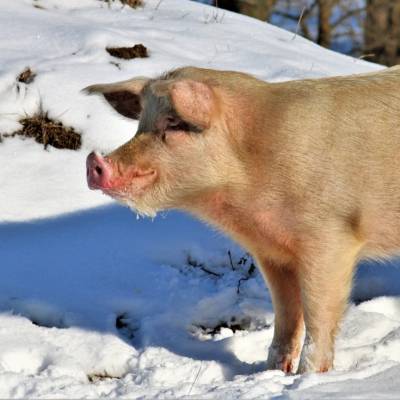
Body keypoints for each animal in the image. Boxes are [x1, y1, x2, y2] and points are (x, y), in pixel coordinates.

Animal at [85, 66, 400, 376]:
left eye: (175, 123)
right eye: (141, 123)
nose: (94, 162)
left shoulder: (331, 238)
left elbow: (318, 316)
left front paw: (309, 377)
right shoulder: (272, 253)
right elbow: (286, 314)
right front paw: (273, 372)